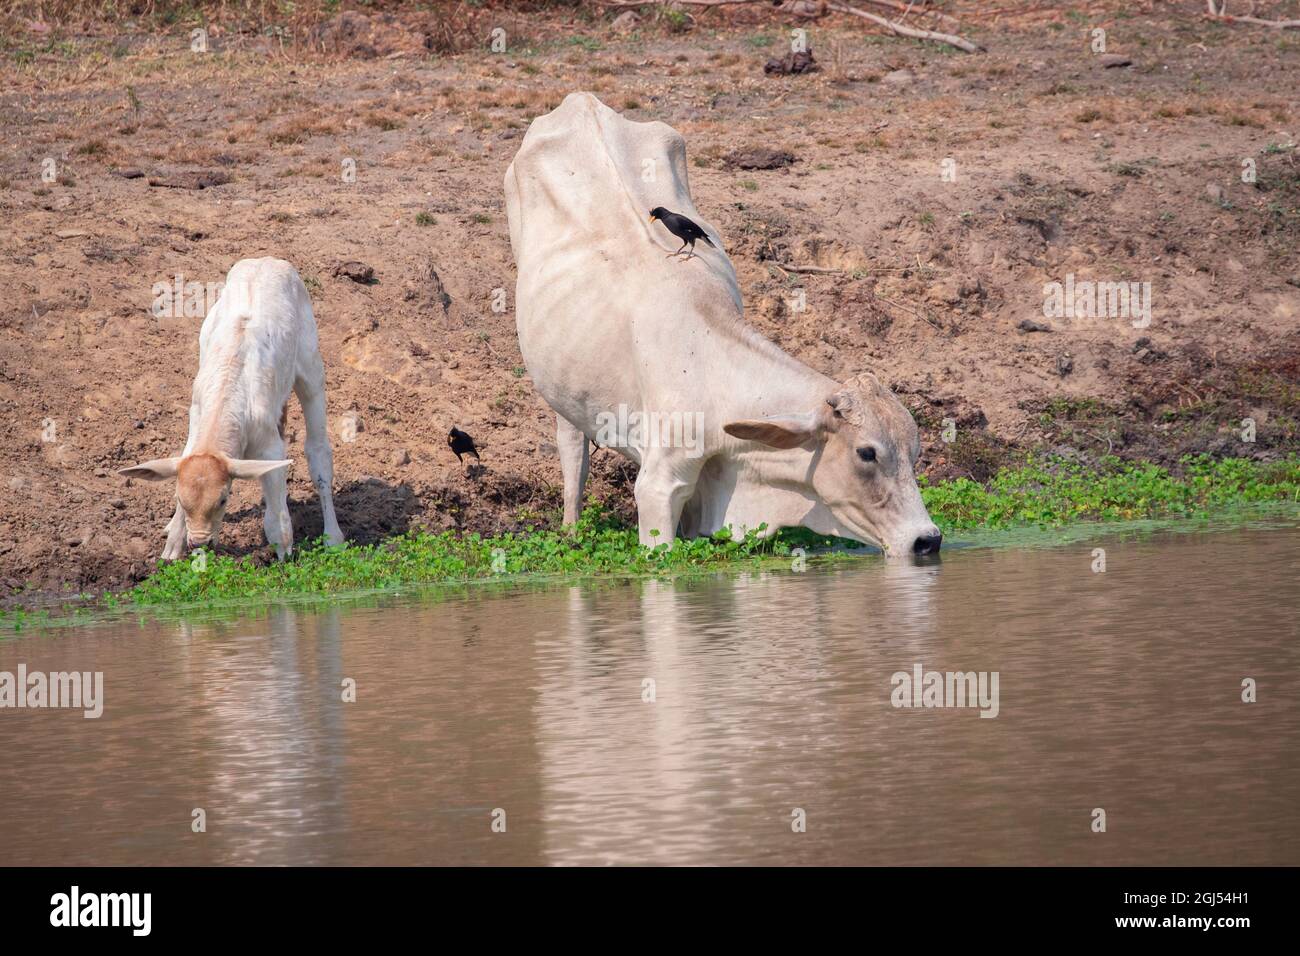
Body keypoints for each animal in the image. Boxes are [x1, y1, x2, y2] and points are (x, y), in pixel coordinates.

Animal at [119, 257, 344, 560]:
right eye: (180, 499)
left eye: (224, 499)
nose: (199, 543)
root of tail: (269, 260)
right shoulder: (195, 422)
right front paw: (172, 547)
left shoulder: (271, 448)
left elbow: (278, 523)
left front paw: (284, 557)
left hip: (311, 371)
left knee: (318, 452)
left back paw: (334, 537)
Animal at [505, 92, 941, 557]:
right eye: (866, 453)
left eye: (915, 450)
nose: (927, 540)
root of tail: (580, 100)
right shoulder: (659, 486)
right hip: (561, 393)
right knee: (573, 452)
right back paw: (571, 528)